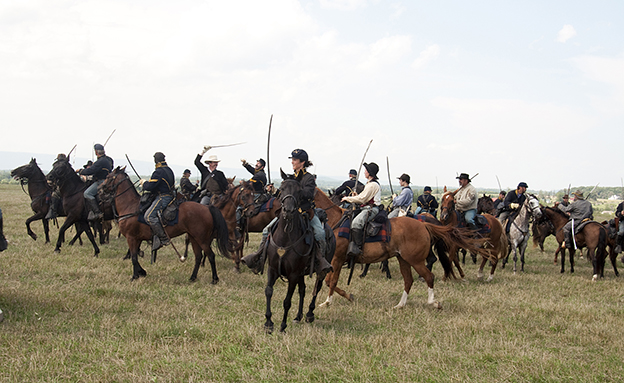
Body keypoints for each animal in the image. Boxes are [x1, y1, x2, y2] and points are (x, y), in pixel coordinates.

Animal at [100, 167, 232, 282]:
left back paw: (214, 279)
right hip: (194, 237)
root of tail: (208, 207)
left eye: (108, 177)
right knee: (198, 256)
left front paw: (134, 276)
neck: (130, 206)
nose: (100, 189)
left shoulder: (131, 238)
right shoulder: (136, 239)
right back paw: (192, 278)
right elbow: (135, 257)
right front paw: (142, 272)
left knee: (211, 256)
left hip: (202, 239)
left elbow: (133, 257)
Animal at [260, 176, 334, 334]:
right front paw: (268, 322)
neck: (285, 238)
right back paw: (298, 316)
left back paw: (309, 314)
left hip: (319, 271)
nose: (288, 210)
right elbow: (268, 291)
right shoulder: (273, 269)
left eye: (299, 191)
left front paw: (282, 326)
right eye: (282, 189)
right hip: (301, 273)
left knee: (316, 288)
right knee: (303, 290)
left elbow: (287, 301)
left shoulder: (293, 274)